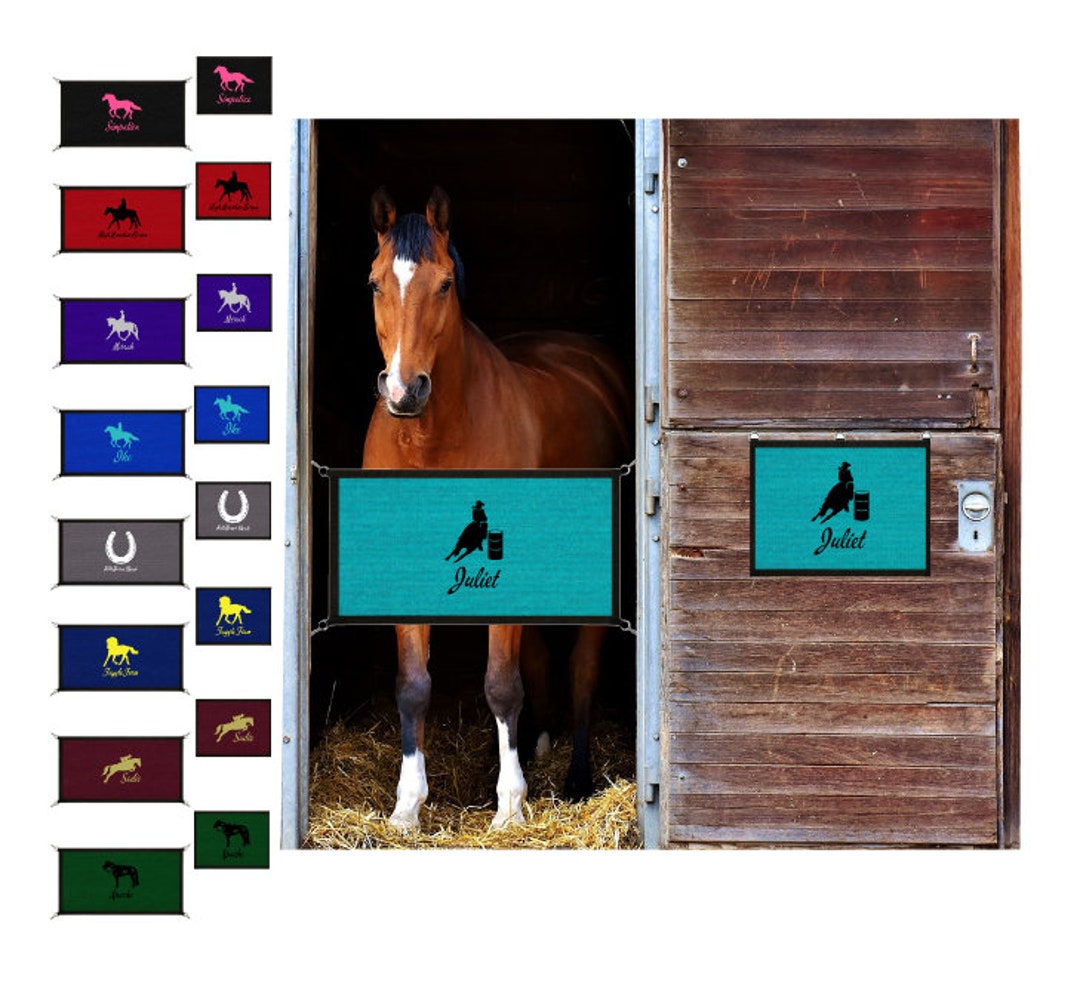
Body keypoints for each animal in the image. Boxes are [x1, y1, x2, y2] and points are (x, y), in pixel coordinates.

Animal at [361, 187, 631, 830]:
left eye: (444, 284)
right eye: (375, 283)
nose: (404, 391)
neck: (431, 439)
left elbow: (503, 684)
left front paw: (509, 806)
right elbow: (413, 685)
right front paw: (406, 806)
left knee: (582, 668)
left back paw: (576, 778)